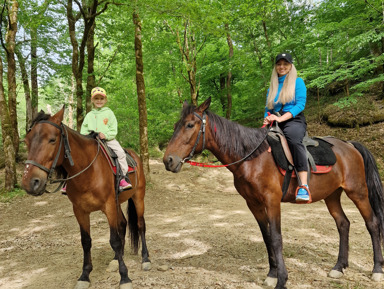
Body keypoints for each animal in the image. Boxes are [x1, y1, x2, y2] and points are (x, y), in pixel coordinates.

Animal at [20, 106, 150, 288]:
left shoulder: (108, 206)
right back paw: (116, 259)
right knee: (123, 224)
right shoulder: (80, 210)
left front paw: (124, 277)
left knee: (140, 225)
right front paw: (85, 275)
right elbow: (86, 241)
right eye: (26, 141)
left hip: (138, 197)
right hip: (117, 203)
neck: (88, 172)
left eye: (52, 140)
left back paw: (145, 259)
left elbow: (115, 240)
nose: (30, 182)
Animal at [164, 97, 384, 288]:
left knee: (372, 223)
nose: (168, 160)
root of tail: (349, 144)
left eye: (190, 125)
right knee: (343, 224)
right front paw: (271, 275)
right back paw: (339, 267)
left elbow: (277, 238)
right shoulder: (253, 204)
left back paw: (377, 270)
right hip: (332, 195)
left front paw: (282, 279)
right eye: (175, 125)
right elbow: (266, 236)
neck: (252, 158)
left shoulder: (272, 201)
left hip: (357, 192)